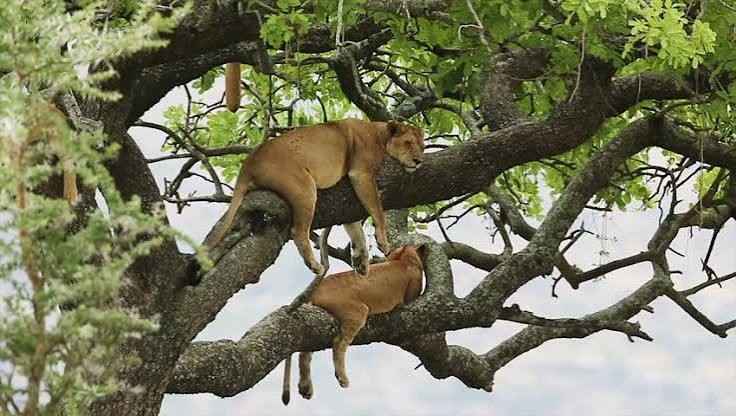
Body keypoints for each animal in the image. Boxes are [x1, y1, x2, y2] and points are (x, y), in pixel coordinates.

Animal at [205, 118, 425, 277]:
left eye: (422, 146)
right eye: (408, 143)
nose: (419, 161)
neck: (379, 134)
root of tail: (248, 163)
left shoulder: (349, 199)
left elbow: (355, 229)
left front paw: (362, 260)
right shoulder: (361, 174)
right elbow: (378, 211)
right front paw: (383, 240)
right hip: (304, 188)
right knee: (298, 231)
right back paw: (315, 266)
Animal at [280, 244, 427, 405]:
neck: (402, 258)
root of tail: (316, 289)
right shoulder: (412, 292)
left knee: (304, 354)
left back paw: (305, 388)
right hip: (358, 311)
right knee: (338, 343)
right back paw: (342, 378)